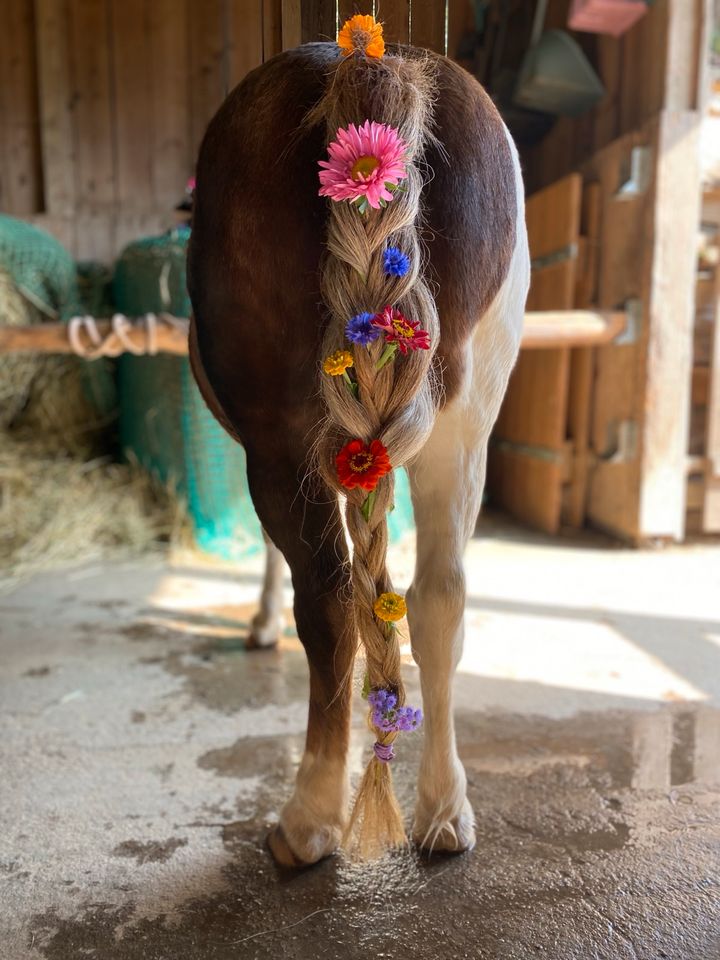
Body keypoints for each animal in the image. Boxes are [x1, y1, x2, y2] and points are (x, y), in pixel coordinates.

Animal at [186, 22, 528, 868]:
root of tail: (372, 67)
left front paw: (260, 624)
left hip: (281, 445)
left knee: (331, 601)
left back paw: (308, 816)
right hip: (463, 428)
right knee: (440, 597)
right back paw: (444, 809)